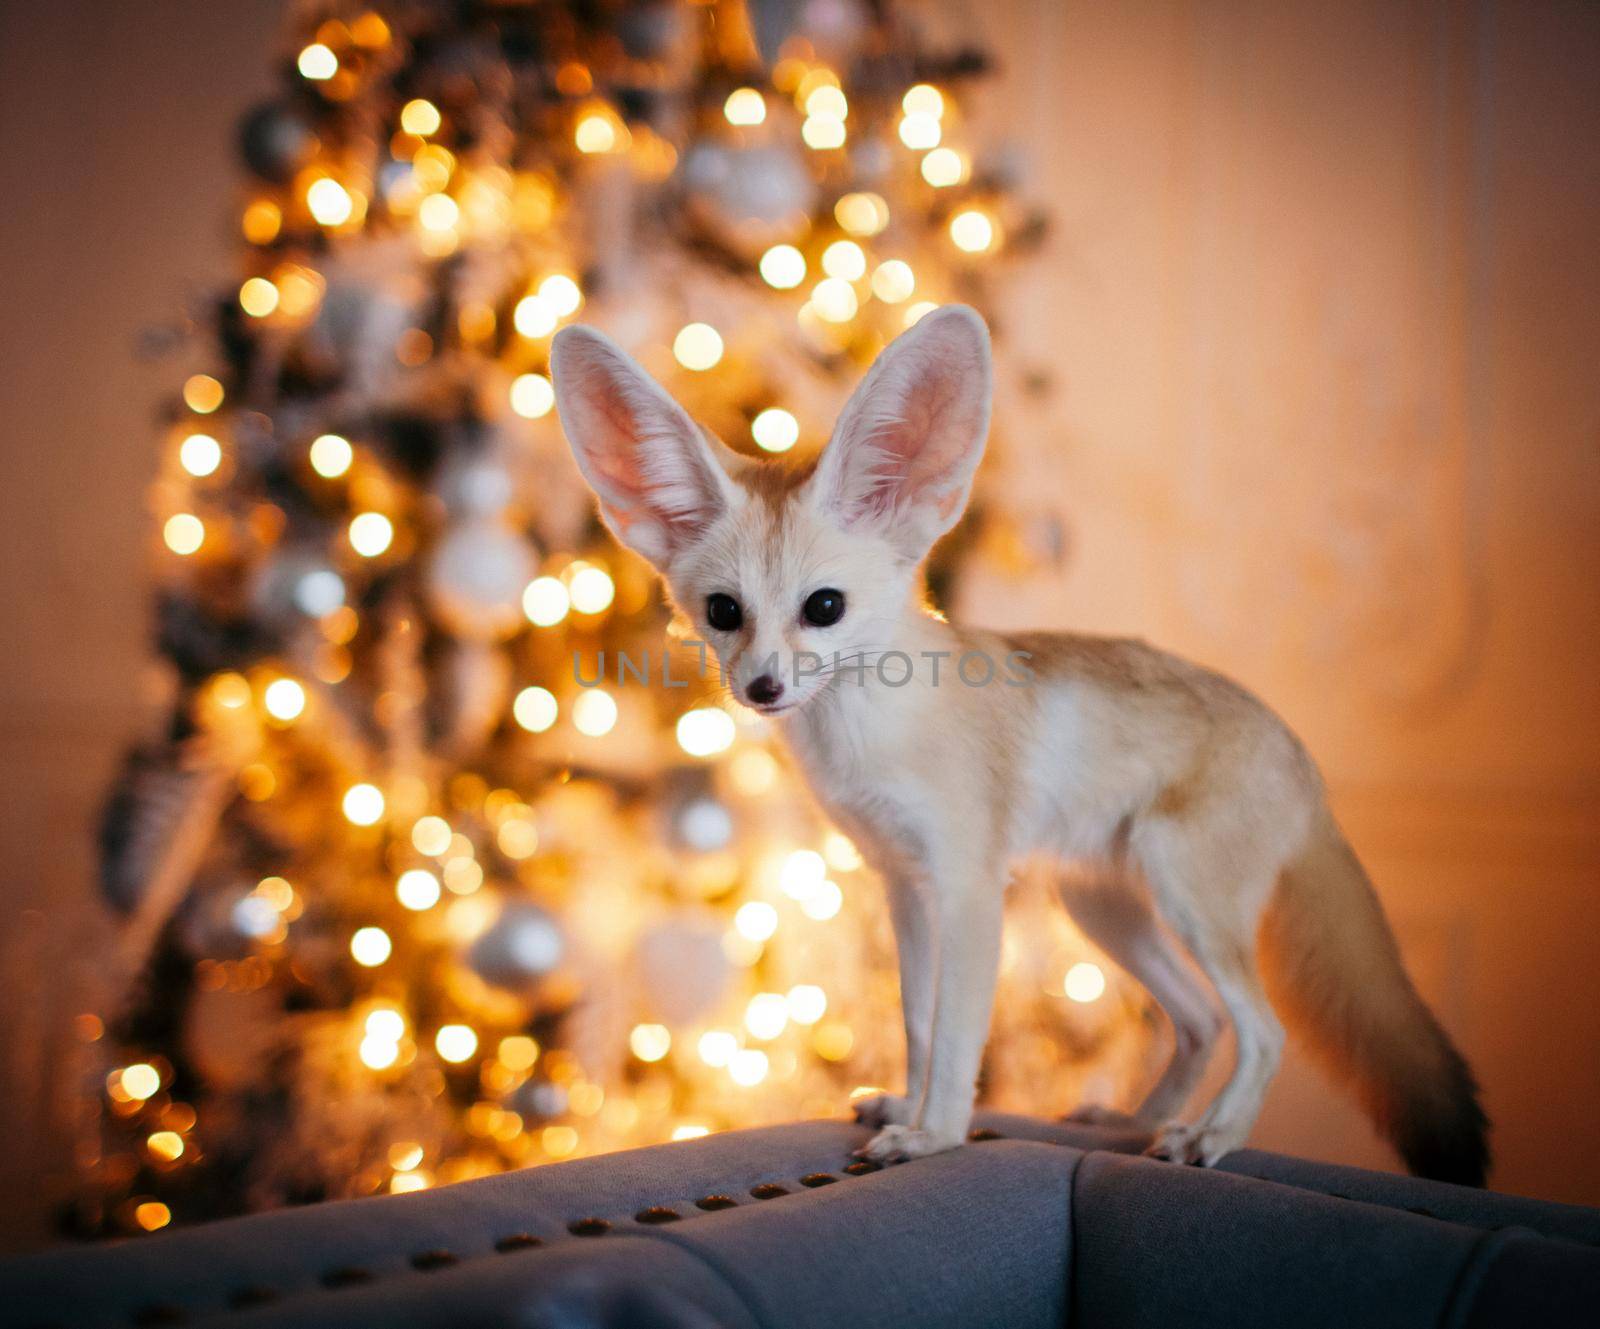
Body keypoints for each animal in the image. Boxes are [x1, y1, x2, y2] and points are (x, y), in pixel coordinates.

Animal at [550, 303, 1484, 1183]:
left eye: (824, 607)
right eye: (722, 612)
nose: (762, 688)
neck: (873, 736)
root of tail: (1302, 753)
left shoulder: (968, 885)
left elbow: (960, 1031)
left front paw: (933, 1134)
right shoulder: (903, 883)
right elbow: (920, 1022)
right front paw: (912, 1106)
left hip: (1185, 896)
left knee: (1263, 1029)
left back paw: (1208, 1136)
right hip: (1105, 906)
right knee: (1201, 1017)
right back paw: (1132, 1122)